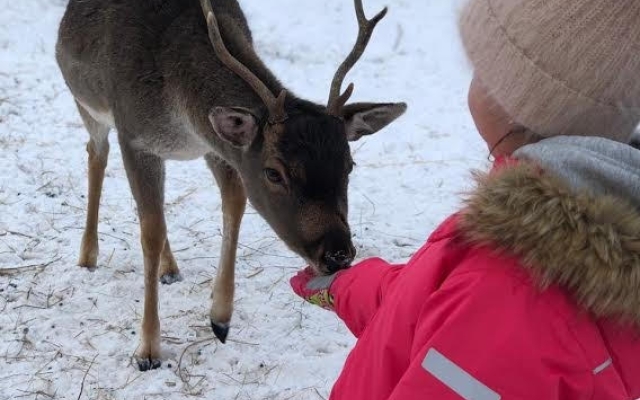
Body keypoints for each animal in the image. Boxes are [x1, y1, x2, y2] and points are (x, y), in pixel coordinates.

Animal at [56, 0, 404, 370]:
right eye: (273, 173)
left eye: (349, 165)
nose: (338, 253)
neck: (179, 116)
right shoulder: (134, 137)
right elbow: (149, 232)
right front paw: (147, 349)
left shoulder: (218, 150)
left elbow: (234, 205)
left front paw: (220, 317)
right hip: (86, 105)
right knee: (96, 153)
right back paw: (88, 255)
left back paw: (170, 268)